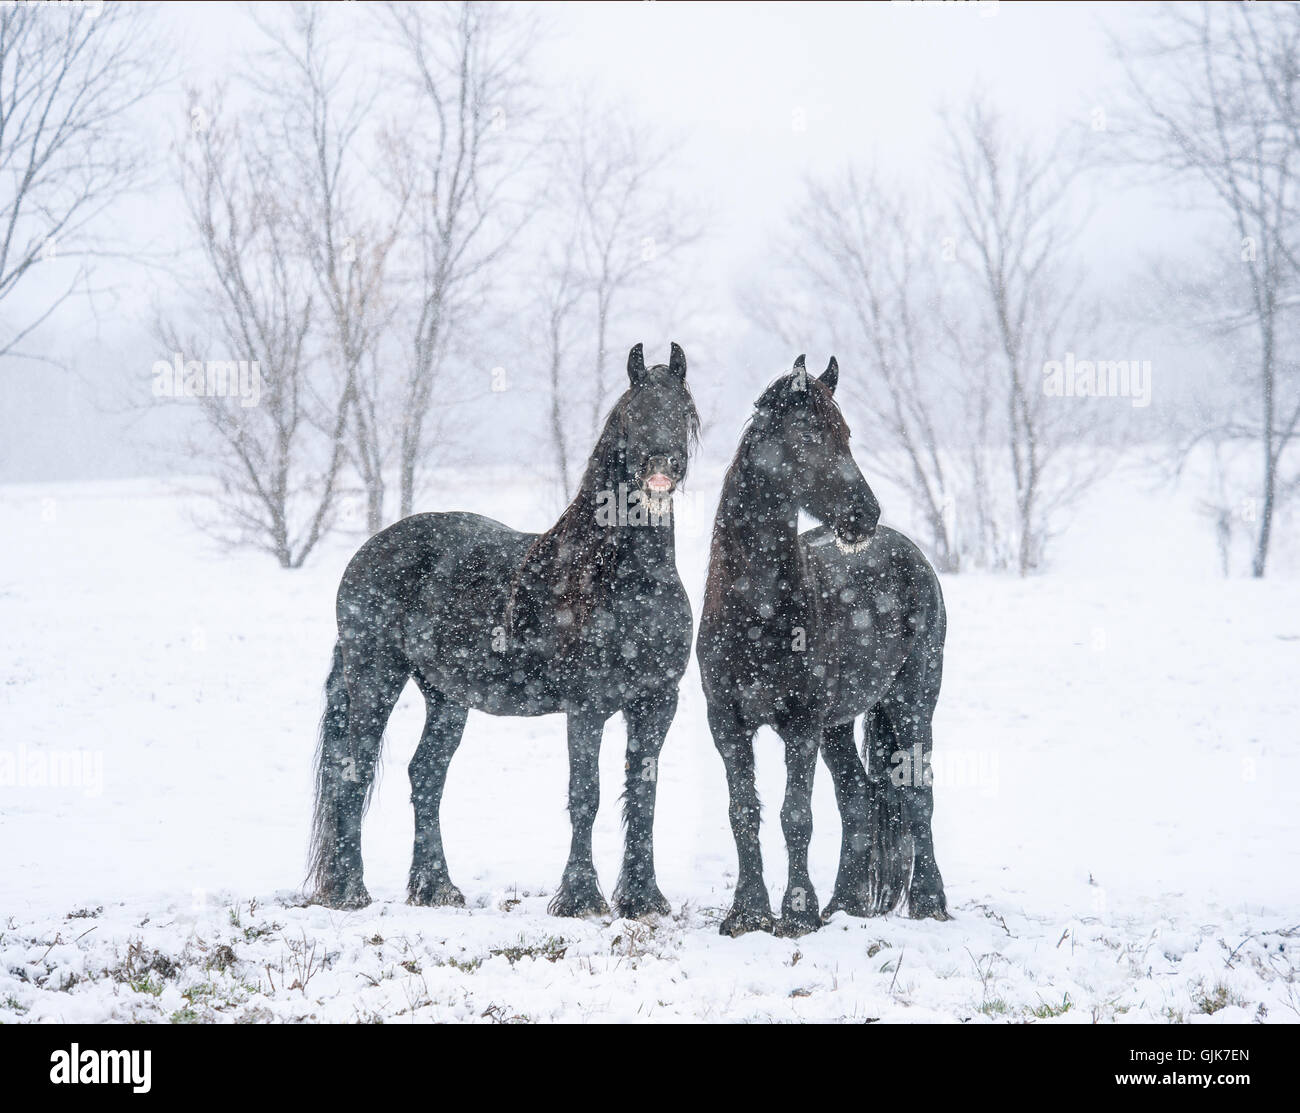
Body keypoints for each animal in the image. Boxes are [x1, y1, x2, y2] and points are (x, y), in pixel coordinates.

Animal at [308, 343, 699, 919]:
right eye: (632, 413)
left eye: (686, 413)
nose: (660, 471)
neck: (624, 581)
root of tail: (369, 551)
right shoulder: (587, 707)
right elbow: (586, 796)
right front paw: (580, 897)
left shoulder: (656, 703)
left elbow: (643, 796)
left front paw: (643, 897)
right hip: (376, 678)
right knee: (351, 773)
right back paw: (350, 890)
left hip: (446, 697)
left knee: (425, 776)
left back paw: (436, 888)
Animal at [697, 355, 950, 937]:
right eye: (808, 438)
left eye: (846, 435)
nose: (865, 513)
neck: (758, 616)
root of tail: (910, 552)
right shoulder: (727, 724)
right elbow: (743, 812)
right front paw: (747, 913)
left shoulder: (801, 725)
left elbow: (796, 815)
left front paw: (796, 913)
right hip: (839, 725)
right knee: (856, 798)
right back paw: (845, 904)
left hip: (911, 704)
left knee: (918, 795)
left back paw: (929, 902)